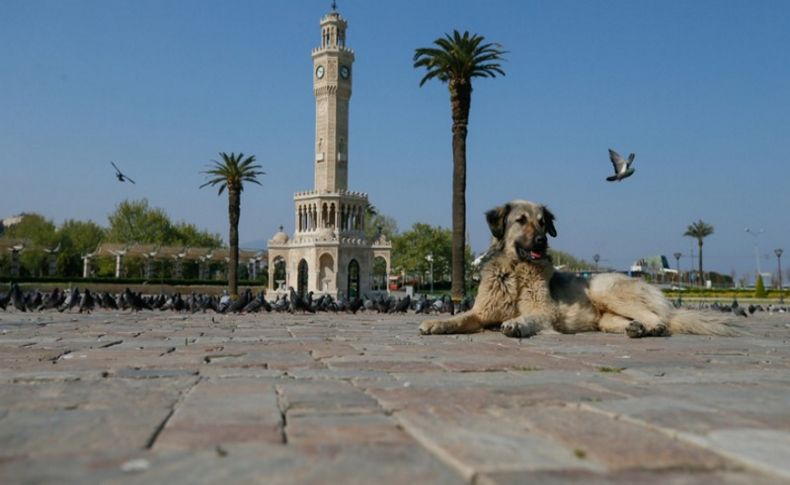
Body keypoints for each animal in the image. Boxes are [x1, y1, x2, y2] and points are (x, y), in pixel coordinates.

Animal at [420, 199, 736, 338]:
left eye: (543, 222)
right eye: (521, 221)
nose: (542, 240)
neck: (517, 270)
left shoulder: (543, 313)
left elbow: (529, 318)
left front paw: (516, 324)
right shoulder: (482, 313)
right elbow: (459, 318)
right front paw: (437, 323)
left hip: (606, 291)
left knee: (660, 319)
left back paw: (651, 328)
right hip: (606, 318)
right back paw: (636, 328)